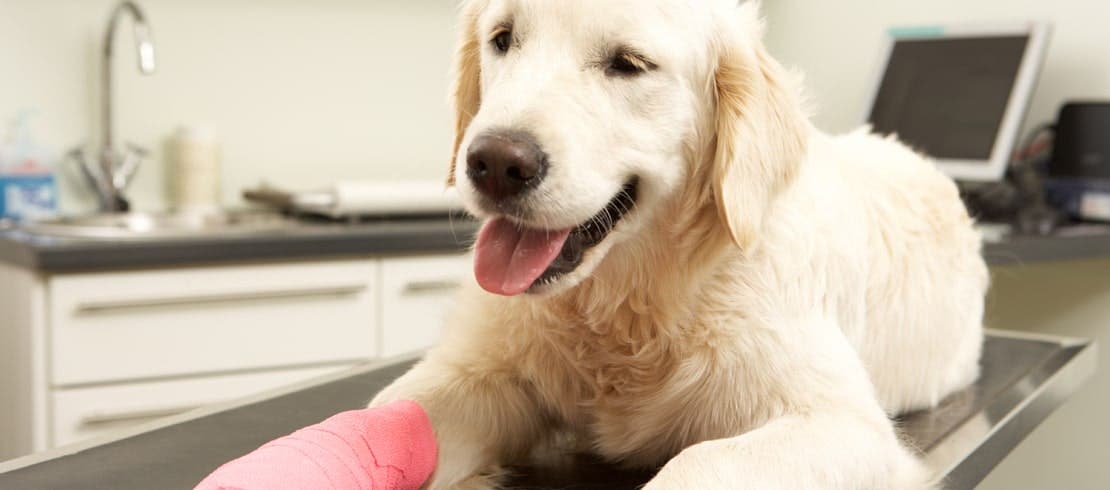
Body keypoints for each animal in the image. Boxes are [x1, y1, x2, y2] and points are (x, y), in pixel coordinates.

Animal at [372, 0, 990, 484]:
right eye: (503, 38)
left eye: (628, 63)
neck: (631, 305)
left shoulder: (844, 424)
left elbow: (702, 461)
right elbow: (387, 420)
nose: (496, 164)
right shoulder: (473, 373)